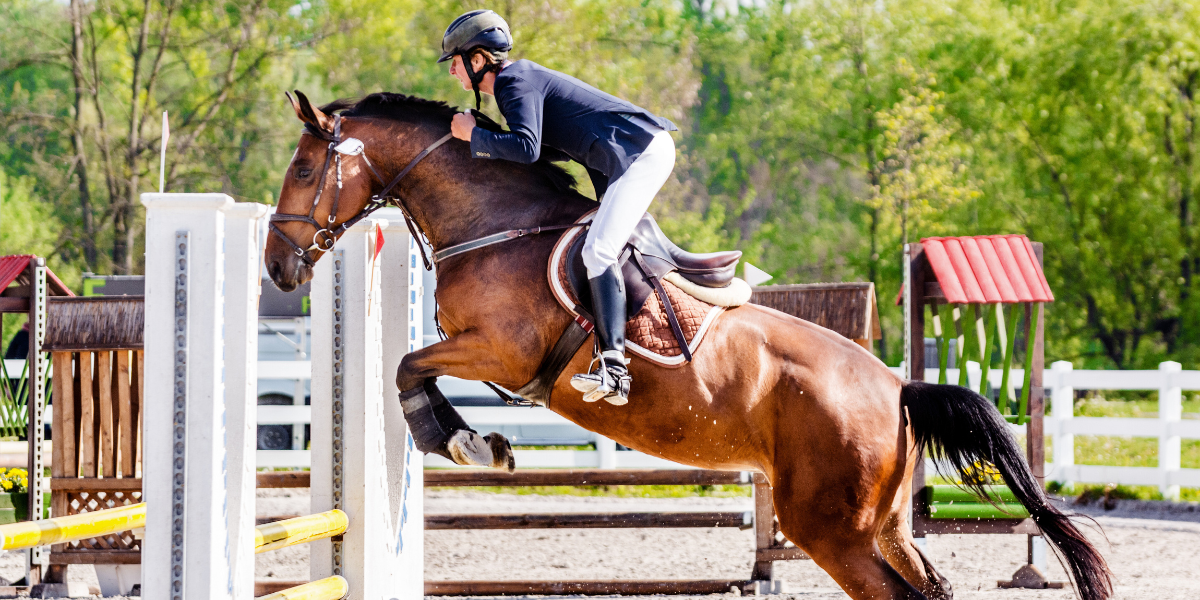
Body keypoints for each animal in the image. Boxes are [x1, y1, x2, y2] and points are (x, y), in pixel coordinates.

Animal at [264, 90, 1112, 600]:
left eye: (303, 166)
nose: (277, 267)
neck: (494, 223)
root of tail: (898, 387)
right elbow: (414, 366)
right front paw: (471, 439)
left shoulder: (501, 353)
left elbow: (409, 367)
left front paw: (463, 440)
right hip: (883, 524)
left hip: (831, 528)